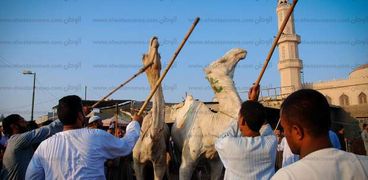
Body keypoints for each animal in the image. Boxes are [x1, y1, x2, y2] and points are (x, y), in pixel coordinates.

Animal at [133, 37, 170, 180]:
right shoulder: (137, 163)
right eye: (144, 56)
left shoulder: (160, 164)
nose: (154, 39)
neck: (152, 136)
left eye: (160, 55)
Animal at [170, 48, 247, 180]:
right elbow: (185, 169)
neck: (212, 125)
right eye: (222, 60)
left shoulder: (217, 161)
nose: (241, 51)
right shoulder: (187, 161)